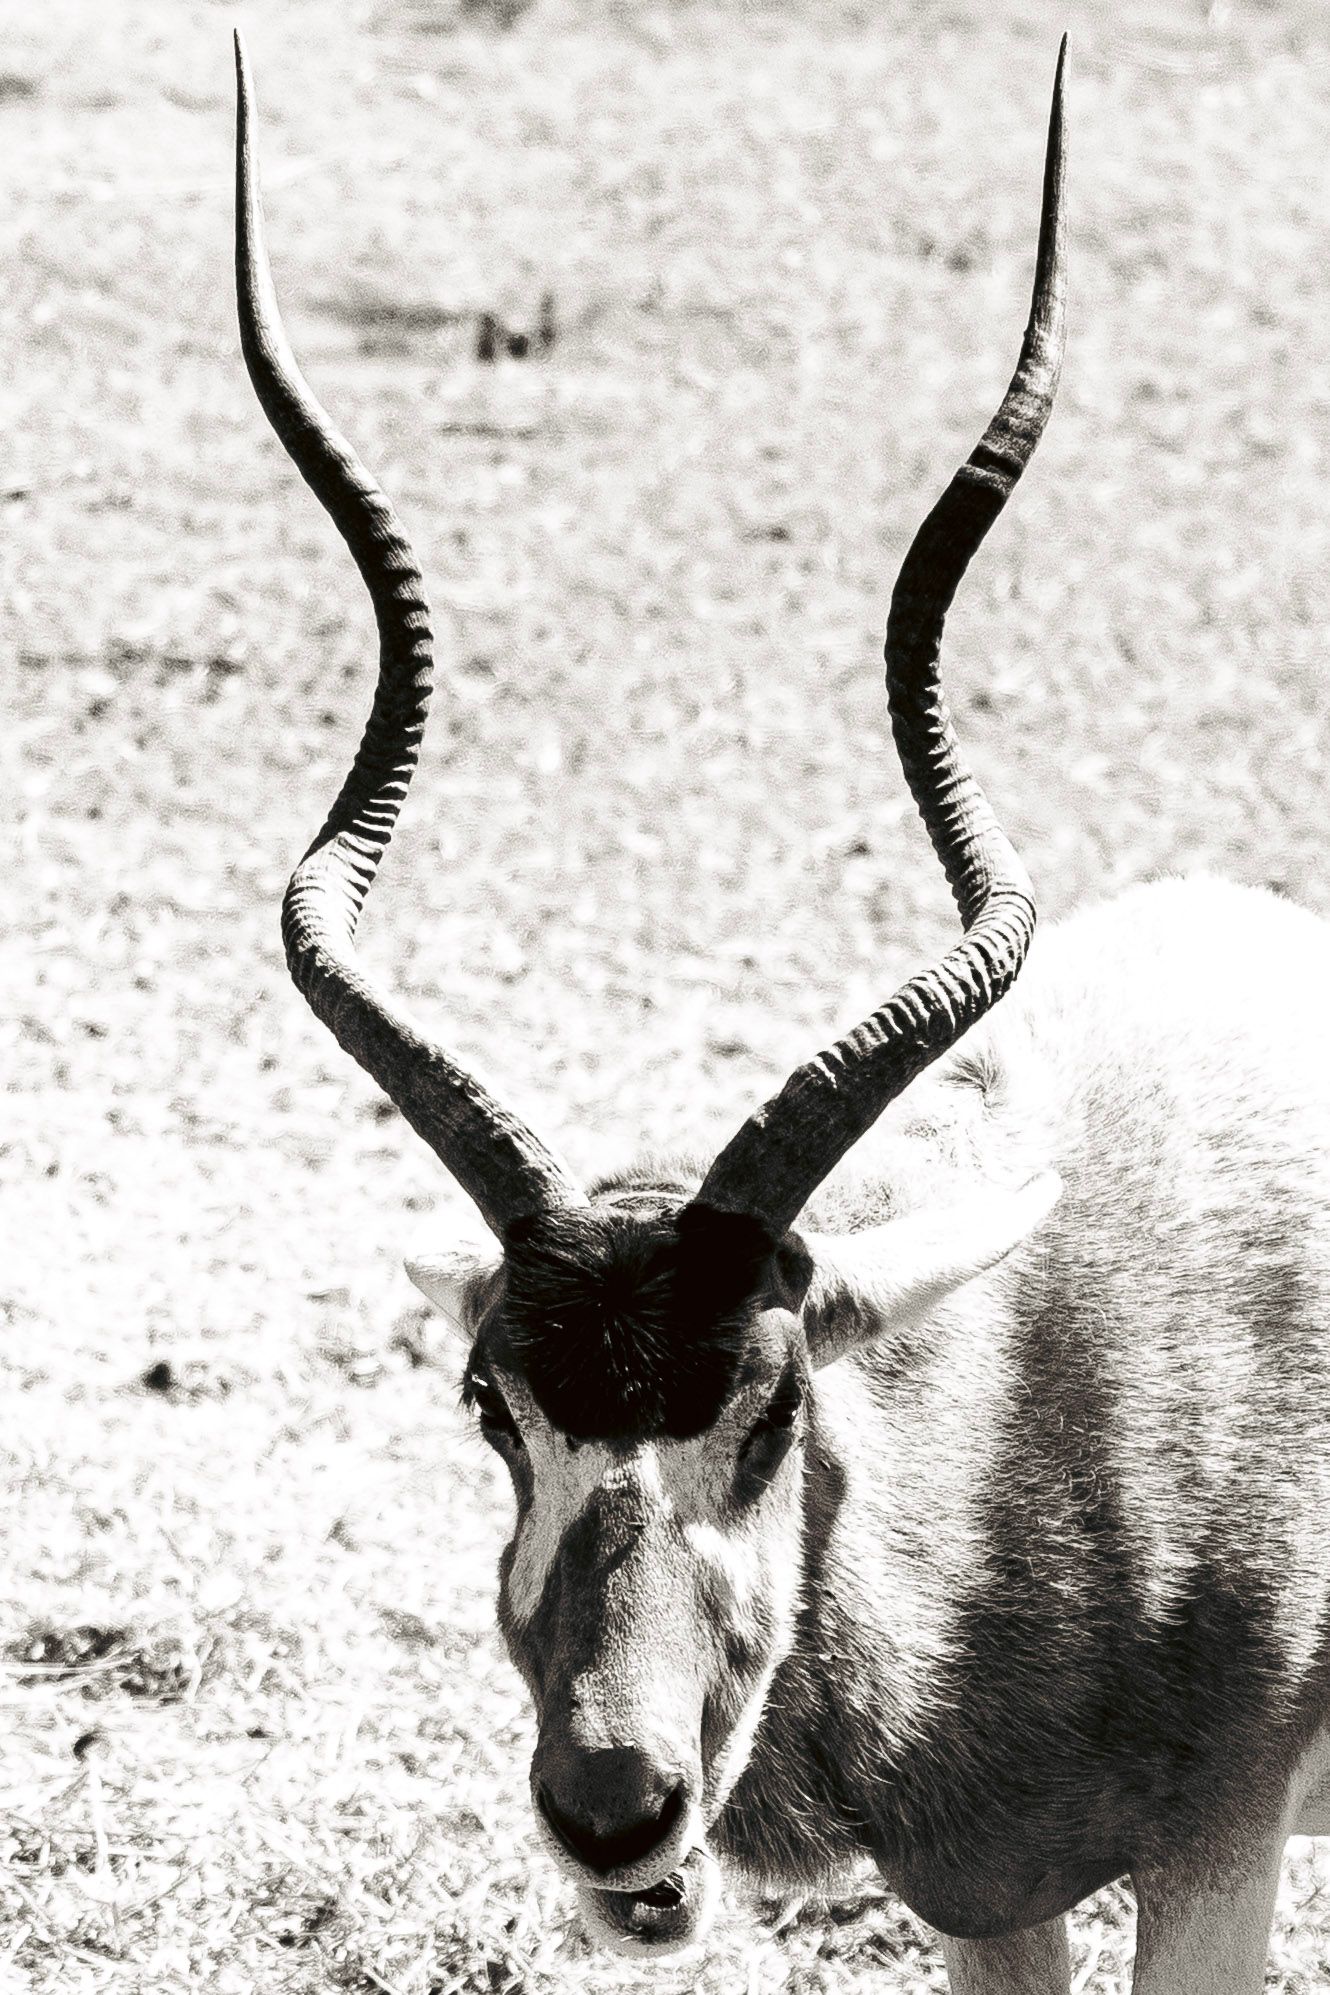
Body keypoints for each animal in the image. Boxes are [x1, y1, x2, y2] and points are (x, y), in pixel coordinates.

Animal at [235, 30, 1330, 1994]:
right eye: (489, 1397)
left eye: (768, 1401)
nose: (614, 1812)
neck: (1036, 1382)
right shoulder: (991, 1898)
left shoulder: (1220, 1850)